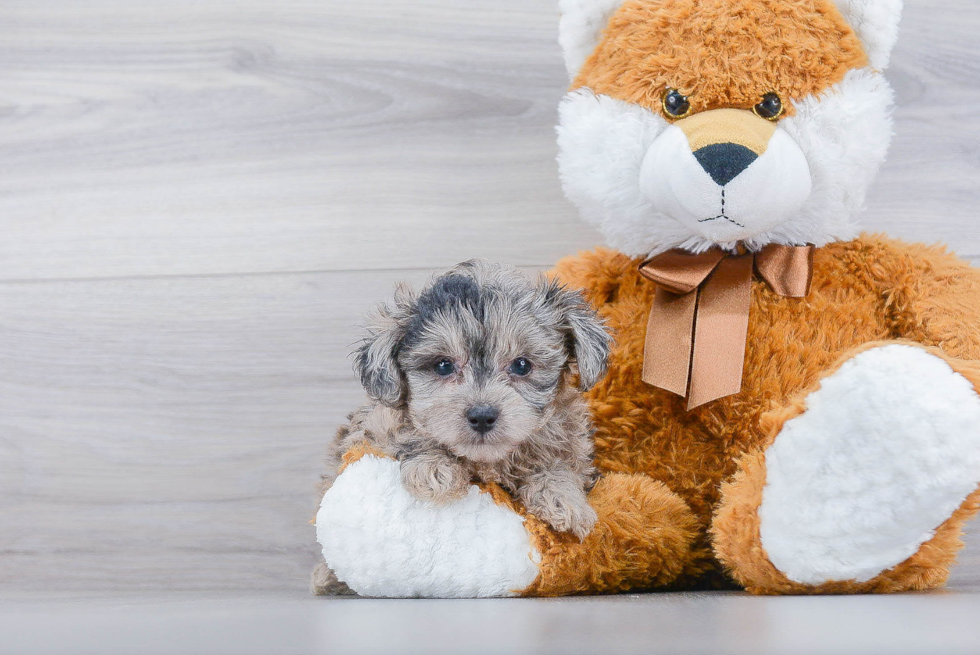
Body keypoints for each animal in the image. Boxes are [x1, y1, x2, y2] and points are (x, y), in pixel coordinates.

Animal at [312, 260, 612, 596]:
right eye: (443, 365)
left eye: (522, 365)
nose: (482, 416)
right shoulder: (373, 425)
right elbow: (406, 433)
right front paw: (433, 469)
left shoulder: (571, 441)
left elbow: (560, 464)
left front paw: (564, 500)